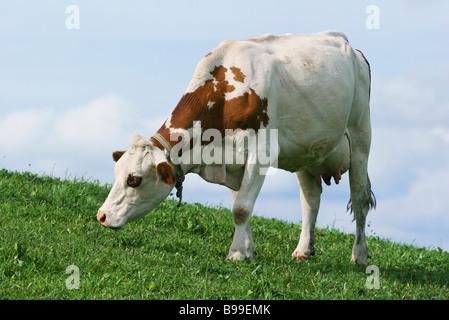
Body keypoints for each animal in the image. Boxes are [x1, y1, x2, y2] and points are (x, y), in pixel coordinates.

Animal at [97, 30, 374, 264]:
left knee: (359, 199)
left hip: (360, 138)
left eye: (134, 179)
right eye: (116, 173)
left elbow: (241, 208)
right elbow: (240, 203)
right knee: (310, 201)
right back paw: (304, 251)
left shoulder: (261, 154)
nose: (102, 216)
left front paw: (237, 253)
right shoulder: (229, 160)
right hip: (307, 153)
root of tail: (351, 47)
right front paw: (248, 249)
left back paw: (359, 256)